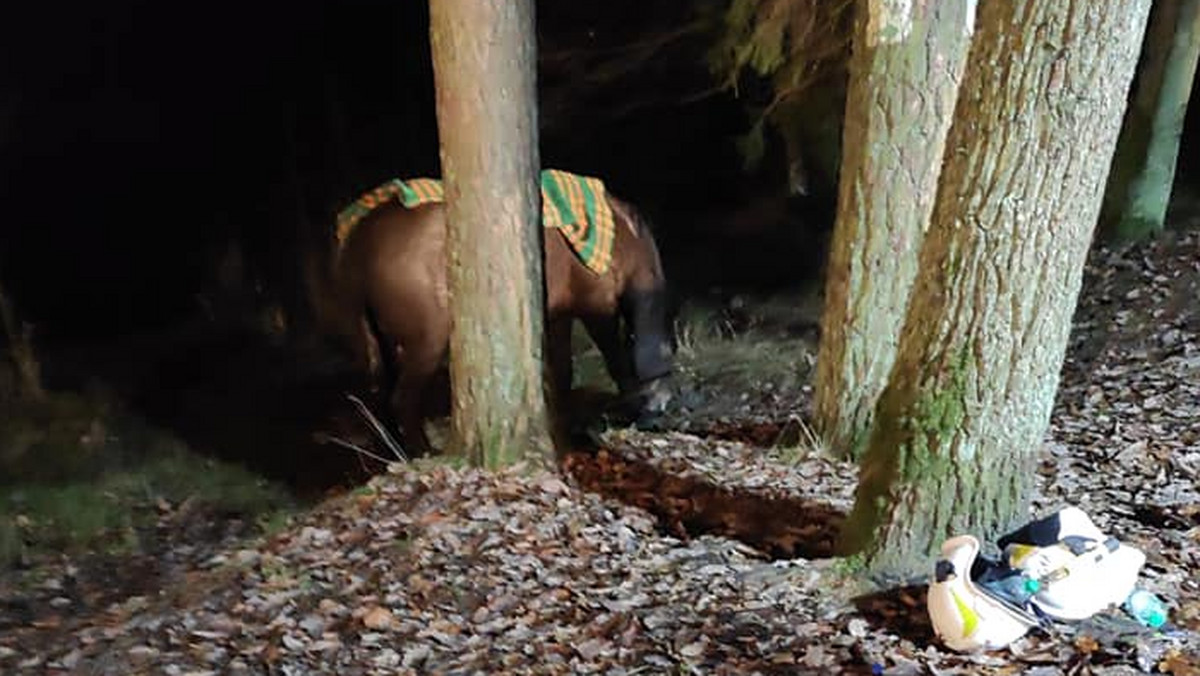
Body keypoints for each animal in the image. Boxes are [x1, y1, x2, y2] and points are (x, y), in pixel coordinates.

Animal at [333, 192, 672, 453]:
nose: (661, 409)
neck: (626, 244)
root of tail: (356, 253)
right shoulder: (595, 303)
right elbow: (615, 359)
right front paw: (628, 409)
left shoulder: (559, 312)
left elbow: (562, 369)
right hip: (428, 335)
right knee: (402, 397)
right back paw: (422, 451)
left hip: (380, 335)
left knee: (381, 394)